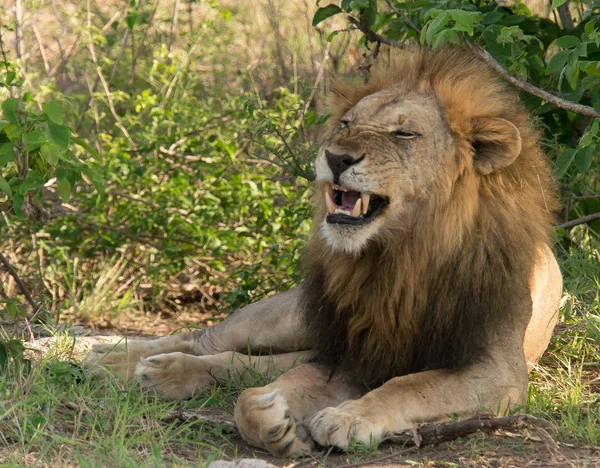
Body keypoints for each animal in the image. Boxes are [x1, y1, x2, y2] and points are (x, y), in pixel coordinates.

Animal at [84, 47, 564, 458]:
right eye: (347, 124)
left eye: (405, 133)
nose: (335, 157)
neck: (402, 254)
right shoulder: (351, 353)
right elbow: (250, 400)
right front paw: (277, 421)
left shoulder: (497, 368)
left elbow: (410, 386)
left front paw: (346, 419)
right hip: (290, 317)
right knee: (208, 338)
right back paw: (116, 360)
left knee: (241, 362)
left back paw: (160, 372)